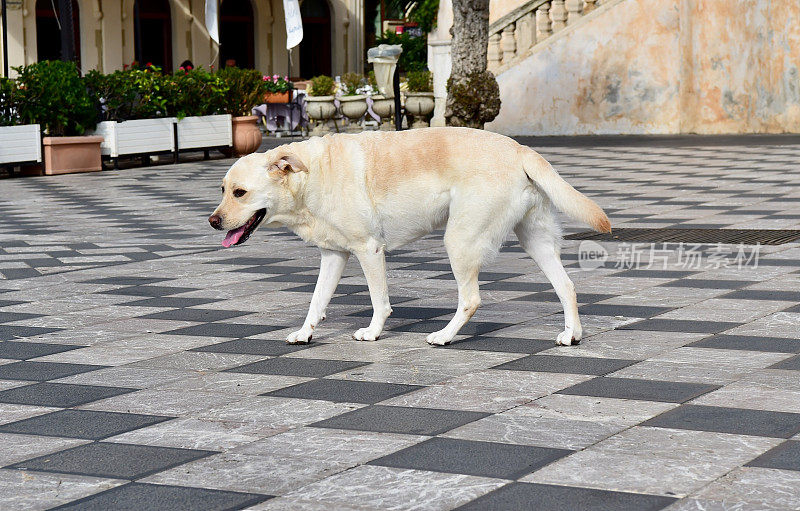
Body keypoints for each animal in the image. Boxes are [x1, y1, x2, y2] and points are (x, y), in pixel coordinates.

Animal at [209, 127, 608, 348]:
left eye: (240, 193)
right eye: (223, 189)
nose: (213, 221)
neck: (311, 175)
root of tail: (521, 149)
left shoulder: (369, 250)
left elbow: (379, 301)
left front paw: (373, 333)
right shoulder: (333, 256)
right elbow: (316, 302)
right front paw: (305, 334)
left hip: (459, 241)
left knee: (471, 299)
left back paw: (444, 336)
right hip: (534, 241)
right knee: (567, 286)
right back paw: (571, 335)